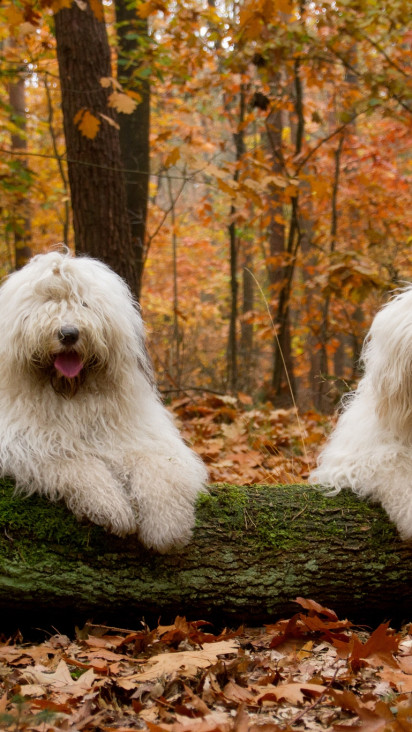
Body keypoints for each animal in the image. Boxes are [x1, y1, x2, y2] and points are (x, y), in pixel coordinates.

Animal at [0, 249, 208, 552]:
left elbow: (159, 466)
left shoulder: (143, 435)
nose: (69, 333)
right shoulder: (26, 441)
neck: (73, 396)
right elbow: (74, 464)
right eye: (47, 302)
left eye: (84, 303)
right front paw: (112, 507)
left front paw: (166, 527)